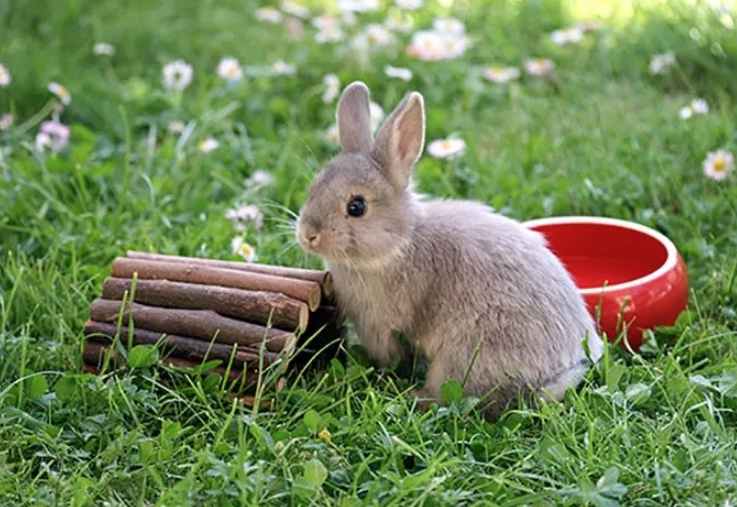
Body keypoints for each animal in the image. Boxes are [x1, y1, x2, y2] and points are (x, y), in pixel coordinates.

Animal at [294, 80, 604, 420]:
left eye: (356, 206)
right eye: (313, 188)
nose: (308, 235)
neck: (400, 243)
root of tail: (558, 375)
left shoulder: (381, 327)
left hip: (463, 358)